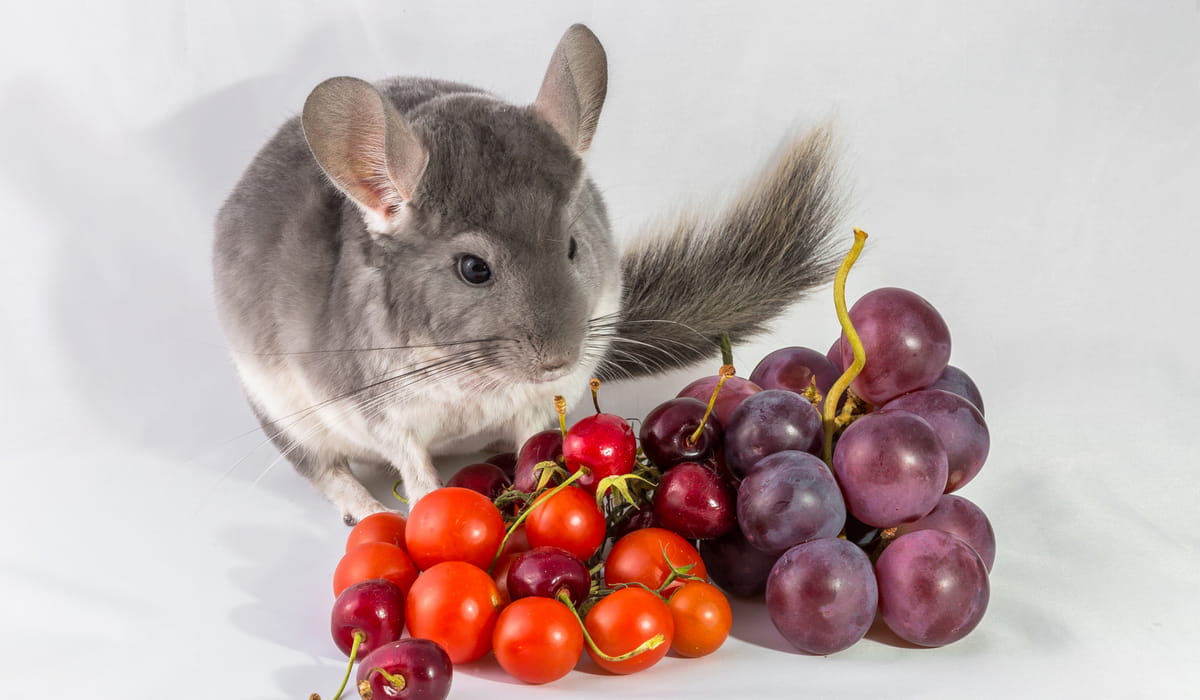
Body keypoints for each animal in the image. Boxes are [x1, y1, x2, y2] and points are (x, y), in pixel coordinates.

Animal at [213, 24, 844, 524]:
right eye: (473, 269)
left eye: (571, 245)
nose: (558, 361)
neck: (470, 376)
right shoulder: (383, 412)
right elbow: (415, 472)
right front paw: (422, 510)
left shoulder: (537, 405)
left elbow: (529, 450)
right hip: (281, 415)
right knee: (322, 469)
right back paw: (365, 511)